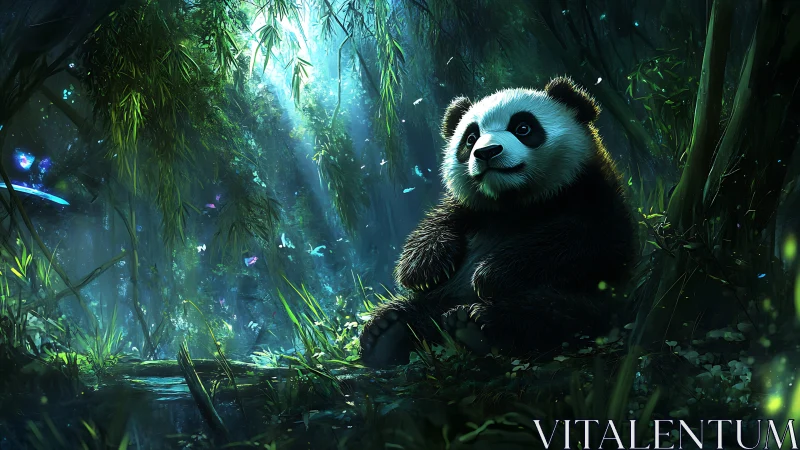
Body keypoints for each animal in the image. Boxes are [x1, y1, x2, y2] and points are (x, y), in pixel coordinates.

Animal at [359, 77, 638, 368]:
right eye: (470, 137)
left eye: (523, 128)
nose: (486, 152)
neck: (514, 201)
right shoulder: (469, 208)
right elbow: (434, 226)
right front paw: (425, 268)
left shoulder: (593, 192)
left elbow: (586, 240)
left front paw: (489, 273)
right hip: (439, 298)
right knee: (418, 310)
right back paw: (387, 334)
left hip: (598, 300)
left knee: (559, 314)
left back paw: (475, 325)